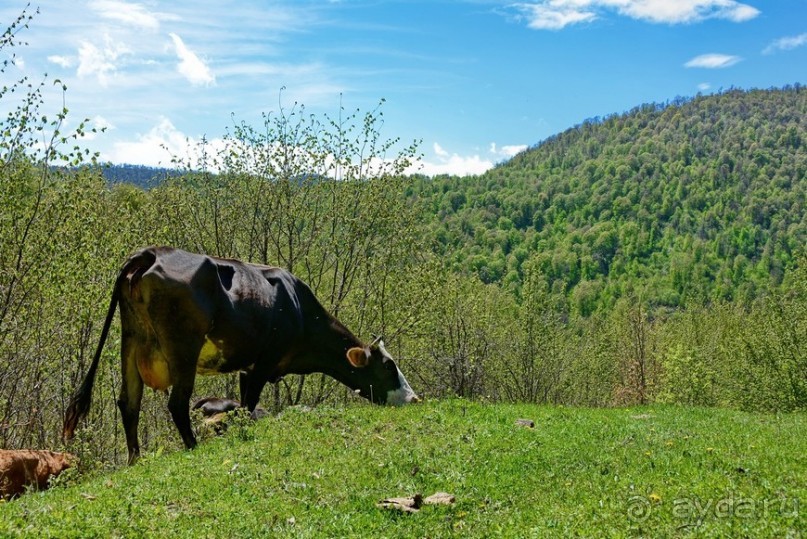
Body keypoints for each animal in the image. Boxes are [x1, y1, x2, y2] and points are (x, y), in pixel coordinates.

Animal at [64, 249, 420, 464]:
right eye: (389, 366)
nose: (414, 398)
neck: (297, 309)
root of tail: (153, 253)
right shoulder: (263, 363)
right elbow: (247, 408)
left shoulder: (247, 369)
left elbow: (241, 406)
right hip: (183, 349)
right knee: (176, 404)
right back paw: (193, 447)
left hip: (132, 341)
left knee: (129, 403)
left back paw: (135, 460)